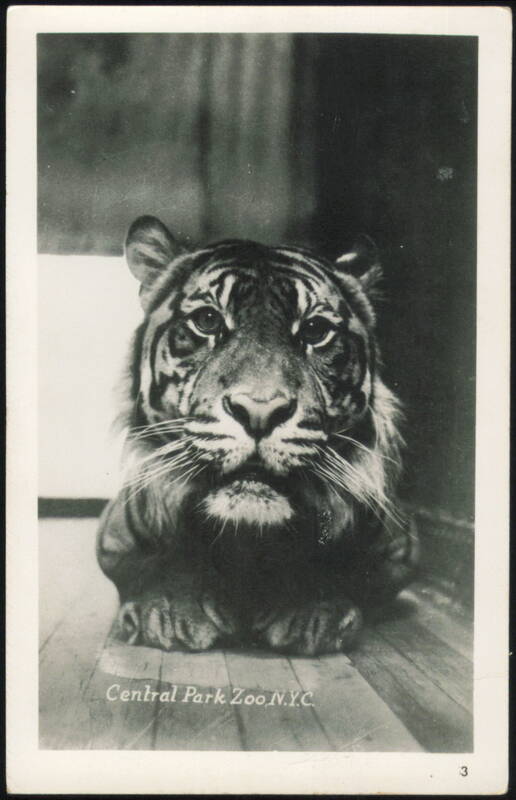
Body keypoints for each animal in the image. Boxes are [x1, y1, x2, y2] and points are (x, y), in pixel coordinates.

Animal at [96, 215, 419, 656]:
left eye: (315, 330)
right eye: (208, 321)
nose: (260, 411)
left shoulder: (400, 549)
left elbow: (346, 572)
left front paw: (311, 615)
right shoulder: (114, 539)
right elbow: (154, 562)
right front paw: (169, 613)